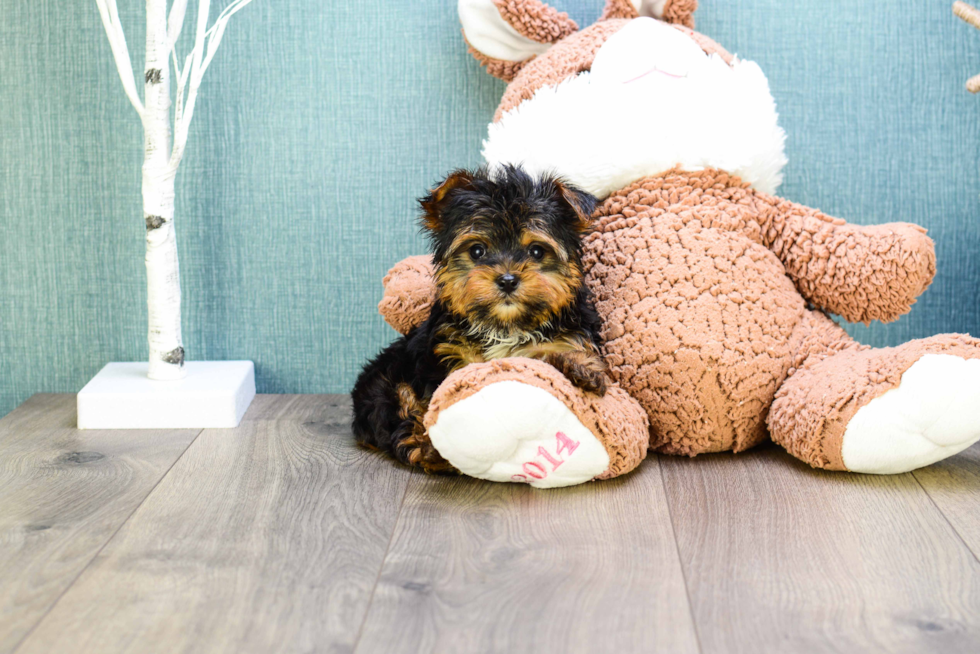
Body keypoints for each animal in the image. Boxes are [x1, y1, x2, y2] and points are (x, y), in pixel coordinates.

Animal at [352, 164, 604, 472]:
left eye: (536, 251)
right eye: (477, 250)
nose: (507, 280)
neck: (505, 326)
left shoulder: (568, 332)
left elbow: (553, 354)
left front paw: (580, 366)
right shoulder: (447, 355)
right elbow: (438, 399)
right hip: (385, 383)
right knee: (399, 410)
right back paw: (428, 449)